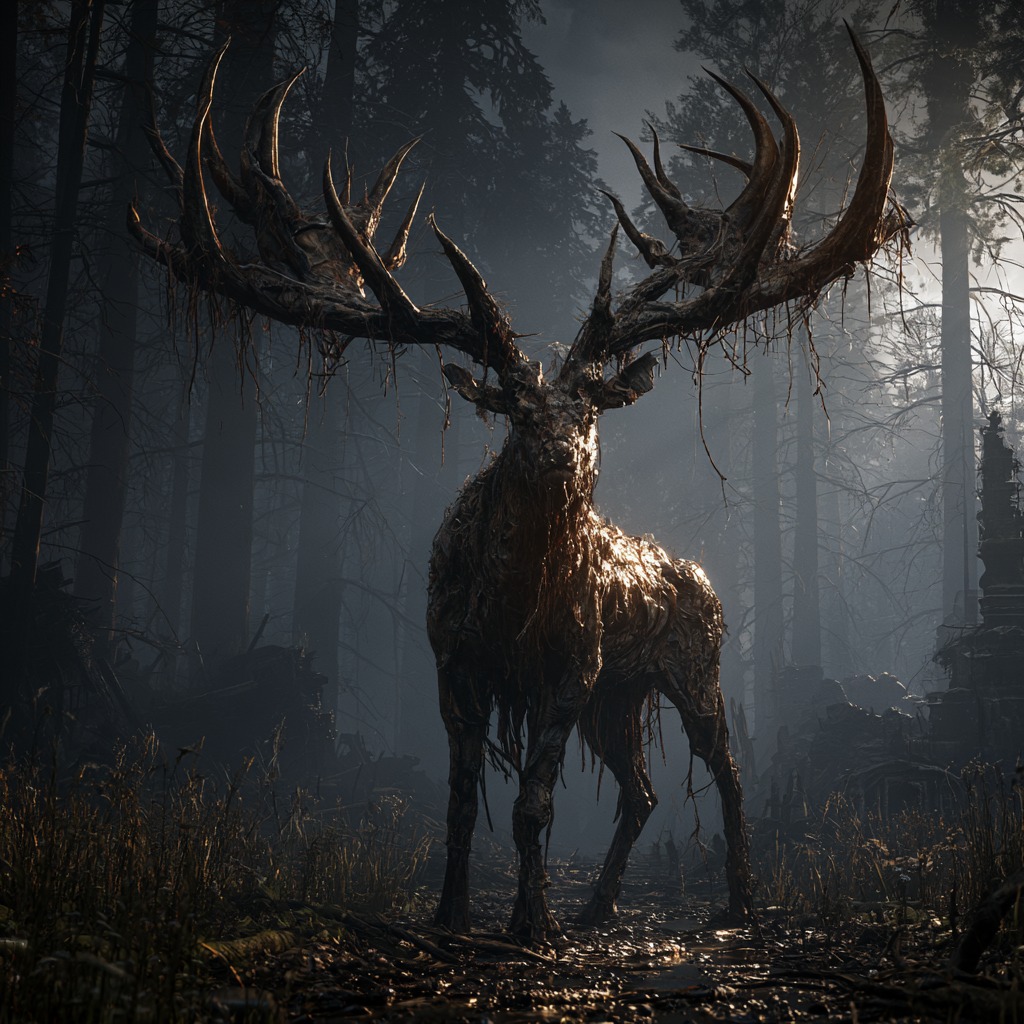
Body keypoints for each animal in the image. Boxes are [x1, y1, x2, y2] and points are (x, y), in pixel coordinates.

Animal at [131, 27, 904, 944]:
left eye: (591, 410)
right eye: (518, 411)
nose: (564, 455)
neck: (512, 611)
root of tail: (703, 579)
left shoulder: (570, 668)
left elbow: (534, 804)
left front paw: (531, 922)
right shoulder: (452, 664)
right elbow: (463, 802)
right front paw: (452, 912)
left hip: (693, 668)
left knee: (727, 771)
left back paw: (740, 903)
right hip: (619, 699)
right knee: (642, 790)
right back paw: (602, 905)